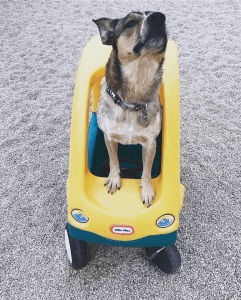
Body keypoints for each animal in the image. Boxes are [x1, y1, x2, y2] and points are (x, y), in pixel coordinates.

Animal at [92, 11, 168, 206]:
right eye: (130, 23)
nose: (159, 17)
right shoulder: (109, 137)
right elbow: (113, 160)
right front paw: (114, 179)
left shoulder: (150, 144)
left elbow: (147, 170)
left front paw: (147, 190)